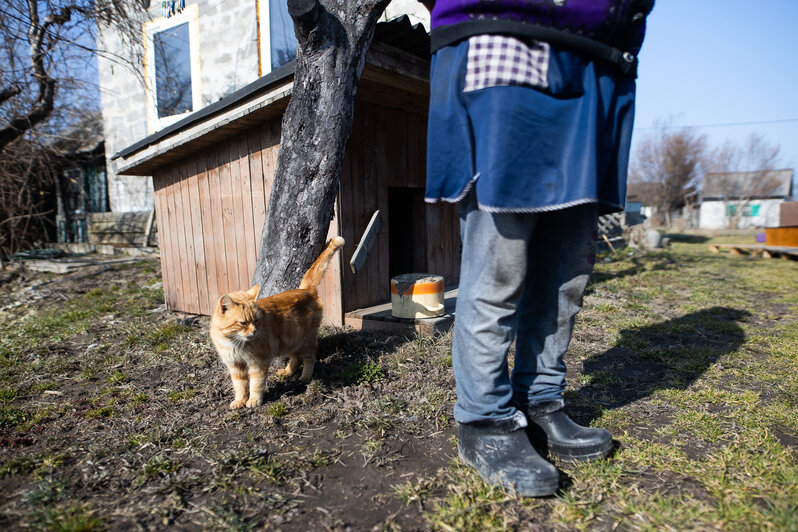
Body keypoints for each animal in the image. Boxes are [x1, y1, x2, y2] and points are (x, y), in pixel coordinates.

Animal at [209, 237, 344, 408]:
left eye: (256, 320)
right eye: (243, 323)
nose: (254, 331)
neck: (234, 343)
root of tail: (306, 290)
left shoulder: (257, 363)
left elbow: (255, 384)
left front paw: (253, 400)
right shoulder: (235, 367)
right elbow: (240, 386)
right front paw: (240, 401)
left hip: (305, 341)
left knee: (309, 358)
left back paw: (305, 377)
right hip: (291, 340)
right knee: (295, 358)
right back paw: (288, 372)